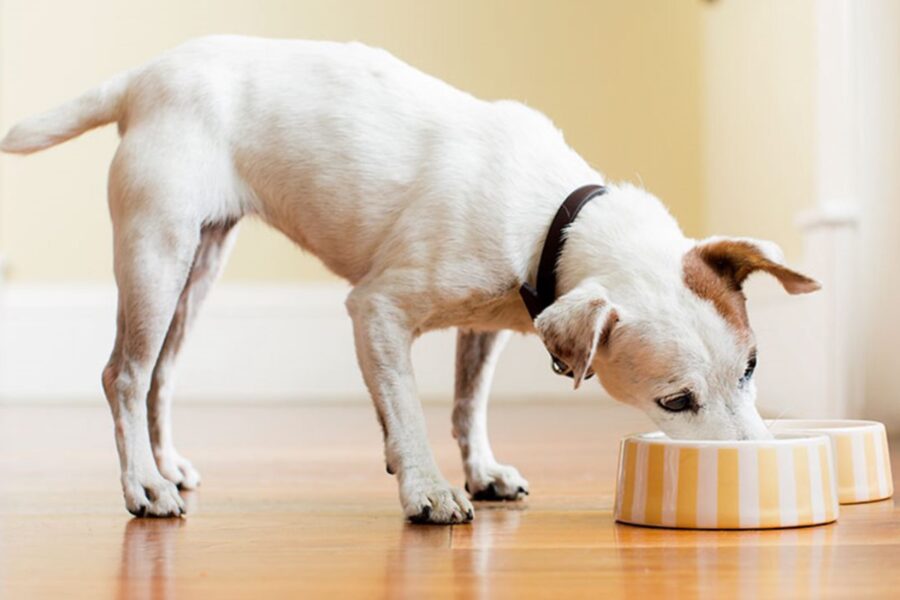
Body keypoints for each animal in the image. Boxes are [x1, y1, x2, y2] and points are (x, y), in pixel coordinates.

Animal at [0, 36, 820, 524]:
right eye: (675, 402)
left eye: (753, 368)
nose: (757, 460)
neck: (550, 215)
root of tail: (146, 75)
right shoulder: (378, 313)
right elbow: (407, 410)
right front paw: (426, 486)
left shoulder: (487, 325)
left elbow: (466, 405)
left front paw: (480, 470)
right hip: (156, 255)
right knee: (124, 375)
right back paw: (143, 484)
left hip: (197, 271)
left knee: (162, 376)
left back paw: (166, 464)